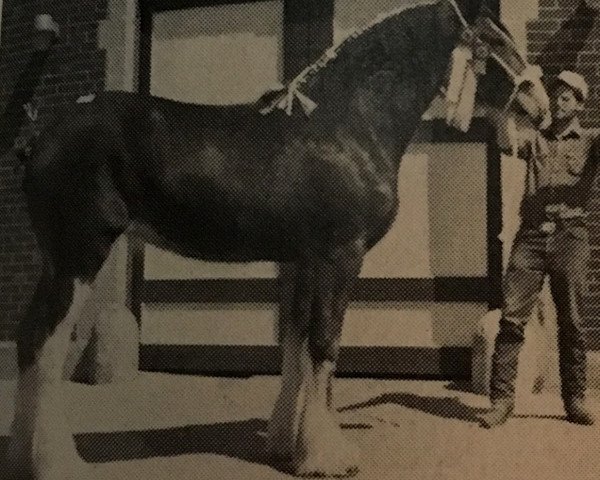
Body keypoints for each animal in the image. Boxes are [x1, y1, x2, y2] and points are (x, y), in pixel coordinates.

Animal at [5, 1, 548, 478]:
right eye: (495, 40)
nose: (540, 108)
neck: (346, 124)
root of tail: (42, 136)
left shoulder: (305, 261)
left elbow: (296, 344)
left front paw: (289, 442)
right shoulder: (340, 257)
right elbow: (324, 345)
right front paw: (330, 456)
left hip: (57, 261)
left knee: (29, 339)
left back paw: (22, 456)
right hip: (79, 255)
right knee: (46, 343)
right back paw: (57, 463)